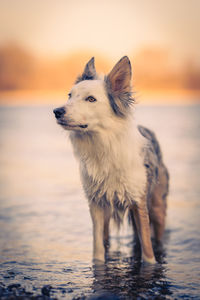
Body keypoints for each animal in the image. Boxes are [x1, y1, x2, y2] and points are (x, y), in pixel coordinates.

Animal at [53, 56, 169, 262]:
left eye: (91, 99)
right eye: (69, 96)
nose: (57, 111)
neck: (104, 146)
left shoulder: (138, 202)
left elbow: (148, 250)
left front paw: (150, 262)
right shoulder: (96, 205)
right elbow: (98, 248)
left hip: (156, 206)